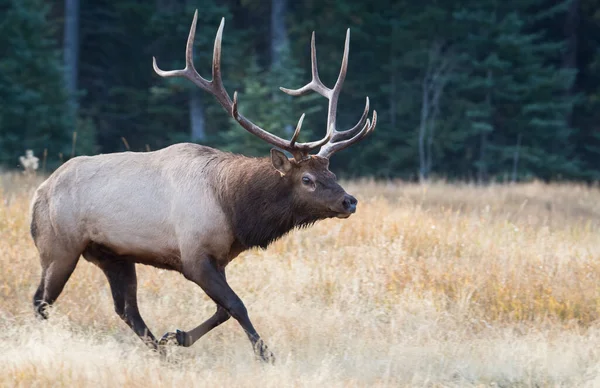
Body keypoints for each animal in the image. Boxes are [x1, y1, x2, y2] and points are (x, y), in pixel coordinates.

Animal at [30, 12, 376, 364]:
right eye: (307, 179)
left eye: (330, 171)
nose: (349, 201)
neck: (234, 210)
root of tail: (39, 193)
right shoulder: (193, 256)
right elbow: (237, 304)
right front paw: (266, 355)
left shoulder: (219, 258)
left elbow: (222, 310)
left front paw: (177, 336)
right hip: (59, 246)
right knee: (42, 300)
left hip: (113, 255)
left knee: (126, 309)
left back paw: (162, 353)